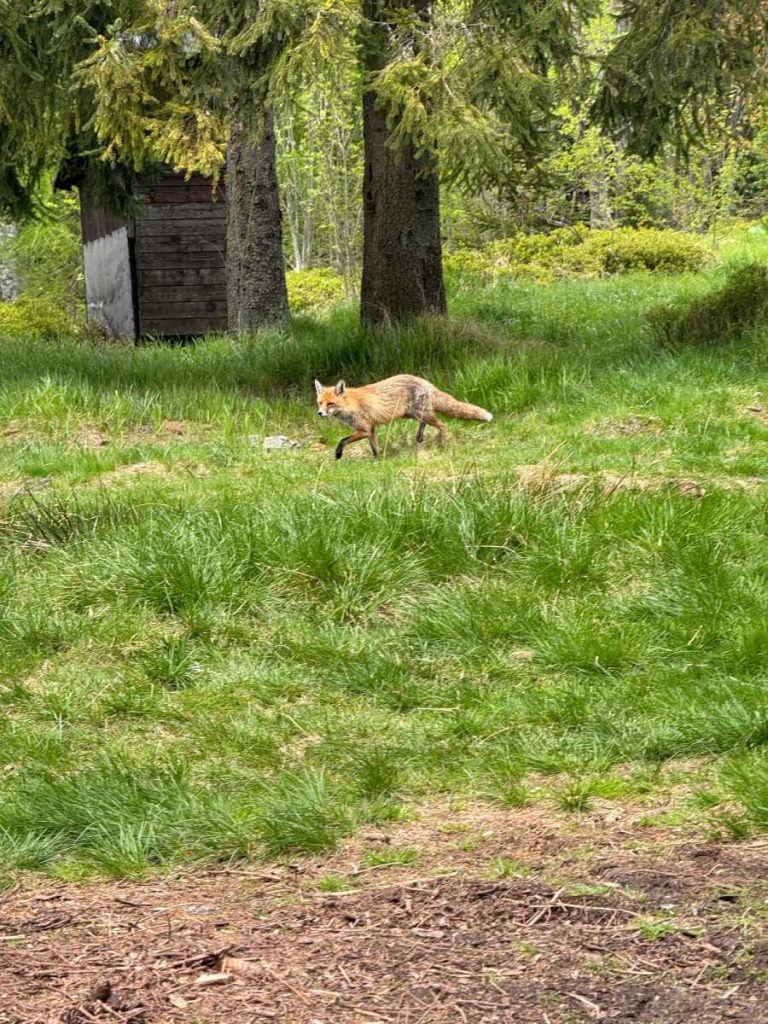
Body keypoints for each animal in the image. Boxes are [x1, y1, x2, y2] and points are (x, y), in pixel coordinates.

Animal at [315, 374, 495, 458]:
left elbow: (342, 440)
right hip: (413, 414)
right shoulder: (371, 430)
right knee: (426, 423)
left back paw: (442, 443)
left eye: (330, 404)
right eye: (320, 403)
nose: (319, 413)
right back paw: (420, 436)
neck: (350, 405)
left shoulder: (364, 429)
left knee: (442, 425)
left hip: (420, 413)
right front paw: (377, 460)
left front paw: (338, 454)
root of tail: (425, 381)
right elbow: (375, 448)